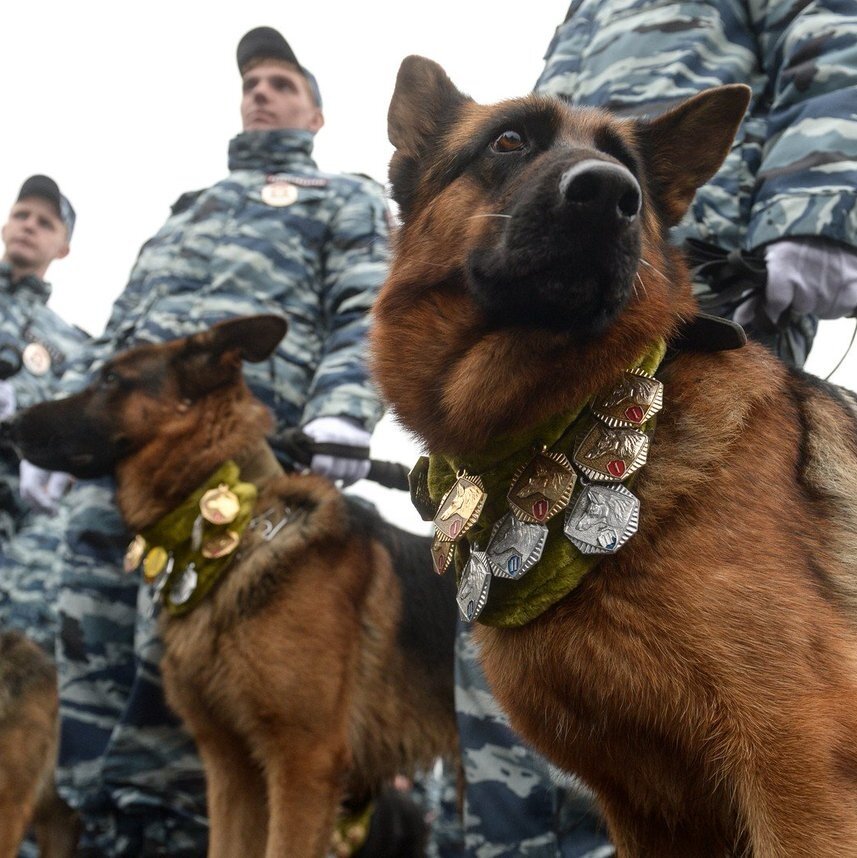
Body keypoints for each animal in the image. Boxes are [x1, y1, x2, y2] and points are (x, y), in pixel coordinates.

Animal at [372, 55, 857, 856]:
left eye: (627, 165)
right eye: (508, 141)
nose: (607, 193)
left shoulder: (798, 768)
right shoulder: (648, 808)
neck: (556, 423)